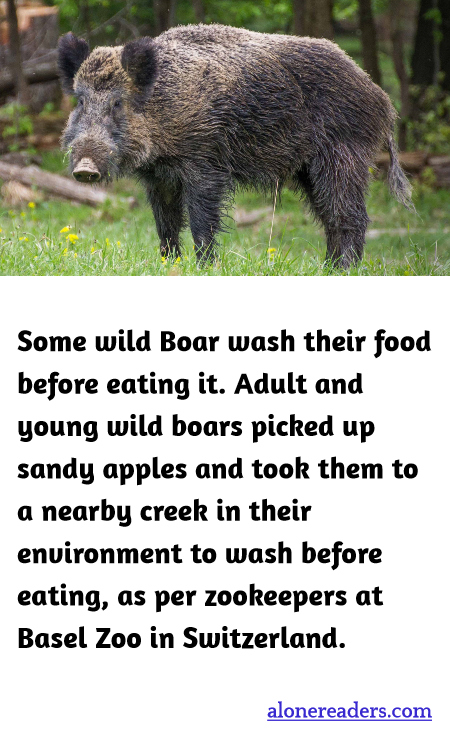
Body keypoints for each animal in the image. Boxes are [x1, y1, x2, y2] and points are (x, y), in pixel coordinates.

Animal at [58, 24, 413, 269]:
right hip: (309, 170)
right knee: (329, 217)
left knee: (350, 216)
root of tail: (382, 99)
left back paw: (343, 270)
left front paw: (204, 267)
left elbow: (202, 221)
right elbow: (166, 225)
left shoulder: (205, 163)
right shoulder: (159, 178)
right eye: (80, 100)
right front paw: (169, 264)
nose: (85, 168)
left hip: (343, 155)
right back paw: (327, 268)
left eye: (118, 102)